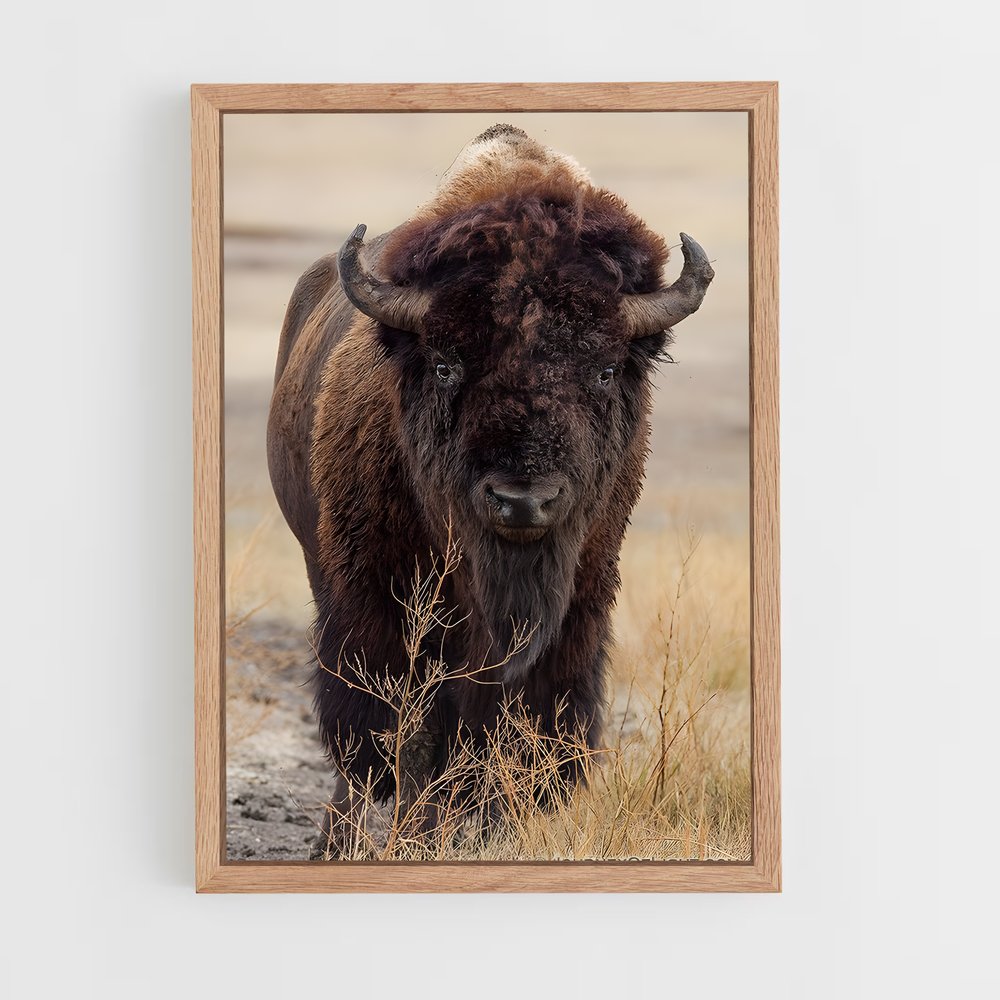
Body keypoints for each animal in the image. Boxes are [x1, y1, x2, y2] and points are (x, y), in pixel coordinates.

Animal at [266, 124, 714, 854]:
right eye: (447, 364)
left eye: (604, 368)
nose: (523, 500)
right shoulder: (383, 604)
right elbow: (408, 734)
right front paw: (419, 836)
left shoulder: (574, 607)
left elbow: (515, 728)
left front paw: (494, 828)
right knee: (360, 749)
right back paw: (338, 842)